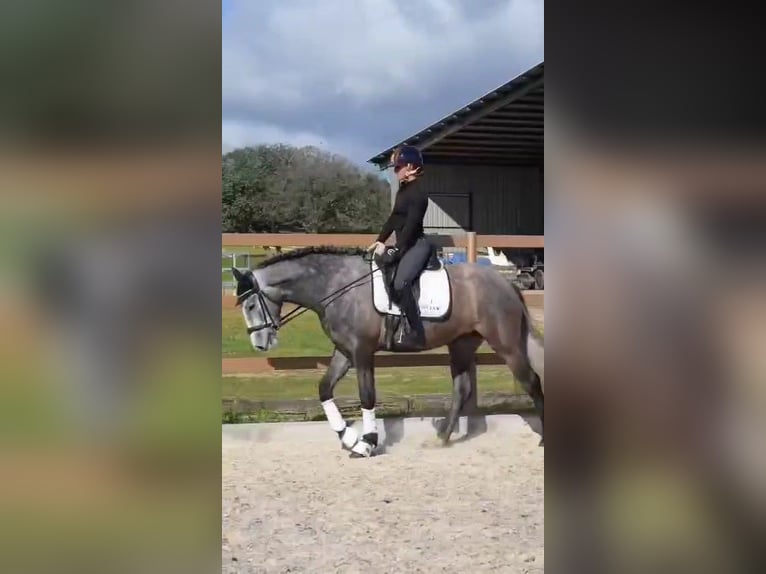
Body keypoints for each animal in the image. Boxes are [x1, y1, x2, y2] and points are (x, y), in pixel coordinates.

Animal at [231, 245, 544, 457]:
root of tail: (506, 284)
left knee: (531, 380)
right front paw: (349, 438)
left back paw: (541, 439)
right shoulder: (344, 351)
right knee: (462, 388)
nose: (260, 344)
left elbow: (367, 396)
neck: (336, 286)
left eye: (251, 305)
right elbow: (324, 389)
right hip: (461, 343)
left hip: (505, 344)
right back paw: (442, 438)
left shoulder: (362, 351)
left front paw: (367, 443)